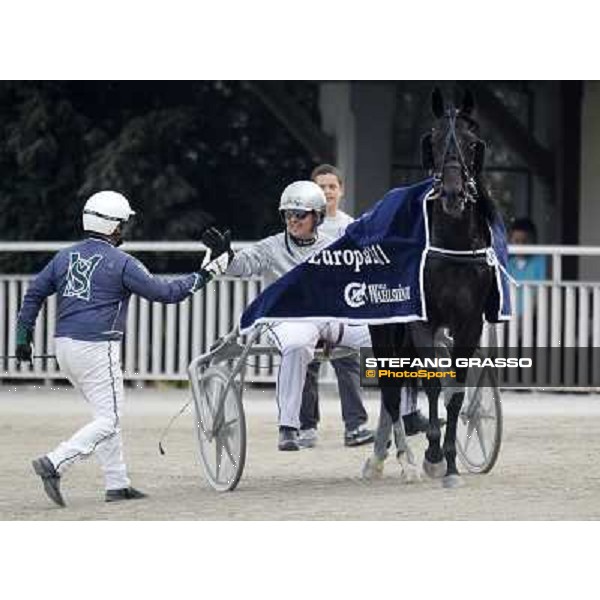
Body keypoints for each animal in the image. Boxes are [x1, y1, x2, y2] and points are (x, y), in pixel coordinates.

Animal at [368, 88, 500, 488]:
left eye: (472, 142)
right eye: (436, 140)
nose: (454, 195)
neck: (452, 245)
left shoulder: (468, 323)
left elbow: (454, 391)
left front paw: (452, 463)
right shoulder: (421, 321)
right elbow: (430, 384)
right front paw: (431, 456)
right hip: (384, 328)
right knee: (391, 390)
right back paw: (397, 460)